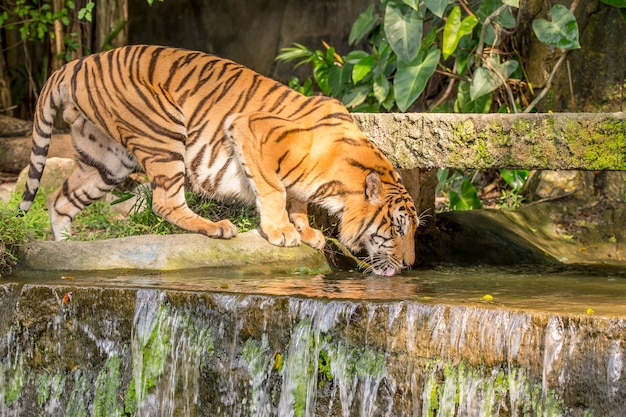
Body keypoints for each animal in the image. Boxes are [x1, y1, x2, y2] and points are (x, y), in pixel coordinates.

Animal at [19, 44, 416, 276]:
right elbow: (274, 191)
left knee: (59, 199)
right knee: (164, 201)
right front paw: (282, 232)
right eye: (397, 229)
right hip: (163, 131)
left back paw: (66, 250)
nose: (410, 264)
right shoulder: (251, 128)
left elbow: (297, 200)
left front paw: (306, 232)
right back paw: (216, 228)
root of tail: (75, 63)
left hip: (108, 160)